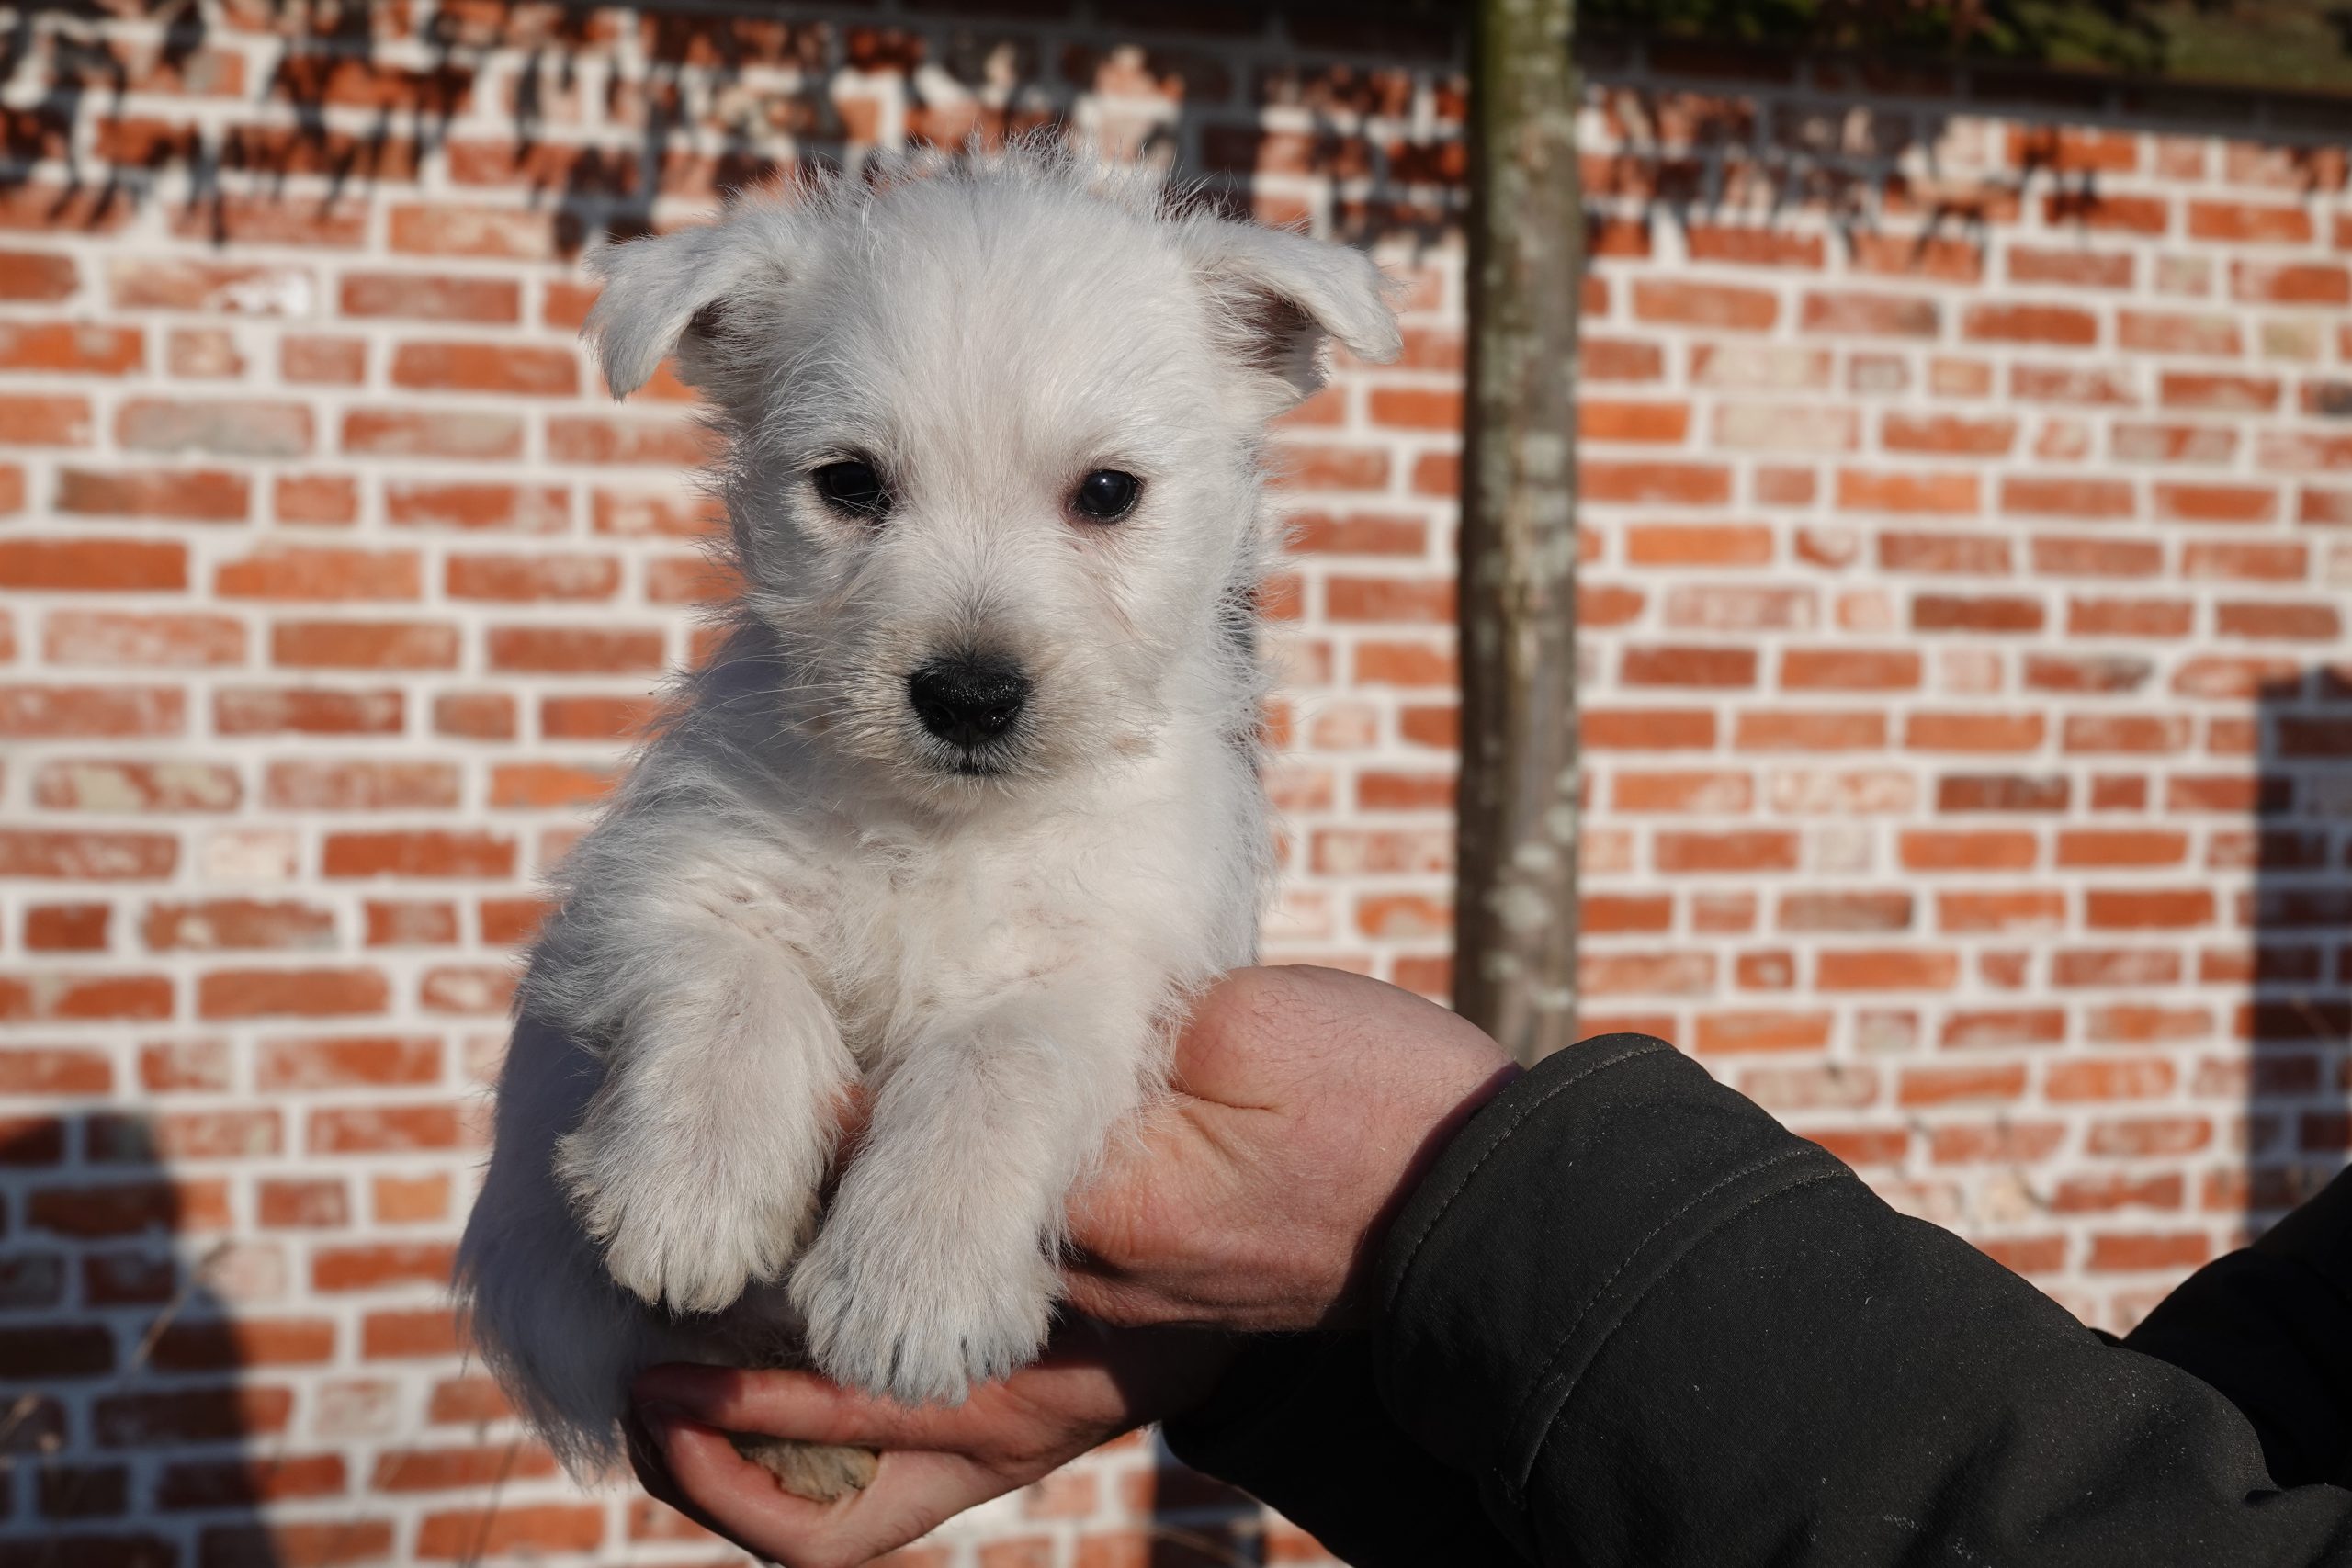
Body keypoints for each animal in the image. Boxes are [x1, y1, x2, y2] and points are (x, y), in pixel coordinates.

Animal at [454, 142, 1401, 1500]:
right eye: (849, 484)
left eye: (1108, 493)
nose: (968, 693)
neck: (944, 826)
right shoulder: (676, 882)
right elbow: (735, 989)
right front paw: (691, 1188)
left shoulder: (1096, 972)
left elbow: (988, 1066)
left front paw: (915, 1283)